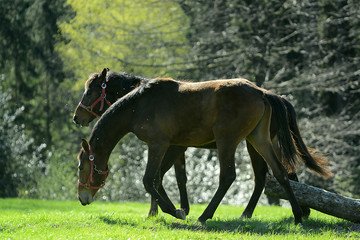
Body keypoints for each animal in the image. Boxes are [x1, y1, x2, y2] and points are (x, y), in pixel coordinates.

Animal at [76, 70, 332, 225]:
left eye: (80, 167)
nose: (82, 198)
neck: (139, 104)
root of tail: (263, 93)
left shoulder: (159, 145)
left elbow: (151, 180)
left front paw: (174, 211)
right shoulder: (174, 147)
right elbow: (169, 179)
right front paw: (171, 209)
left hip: (228, 141)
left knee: (229, 176)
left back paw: (206, 216)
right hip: (258, 140)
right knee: (279, 173)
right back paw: (297, 216)